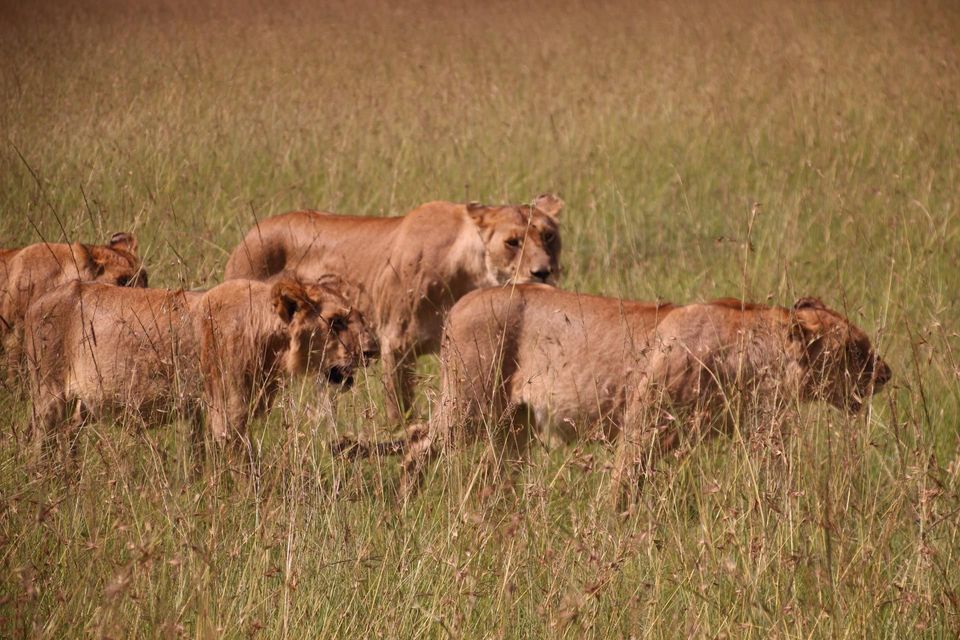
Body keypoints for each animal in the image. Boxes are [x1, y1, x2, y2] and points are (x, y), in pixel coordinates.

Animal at [24, 276, 372, 467]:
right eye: (336, 322)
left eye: (357, 316)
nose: (372, 350)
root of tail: (36, 302)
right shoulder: (228, 414)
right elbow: (245, 470)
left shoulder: (199, 409)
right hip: (49, 393)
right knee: (39, 442)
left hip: (82, 405)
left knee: (67, 437)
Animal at [223, 195, 564, 423]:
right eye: (512, 242)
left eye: (549, 236)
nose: (543, 272)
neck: (469, 272)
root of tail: (250, 233)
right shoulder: (394, 345)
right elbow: (399, 411)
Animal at [393, 285, 892, 508]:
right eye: (856, 350)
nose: (886, 374)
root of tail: (464, 300)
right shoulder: (641, 426)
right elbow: (619, 489)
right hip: (467, 408)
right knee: (417, 442)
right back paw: (406, 503)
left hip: (512, 428)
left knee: (494, 476)